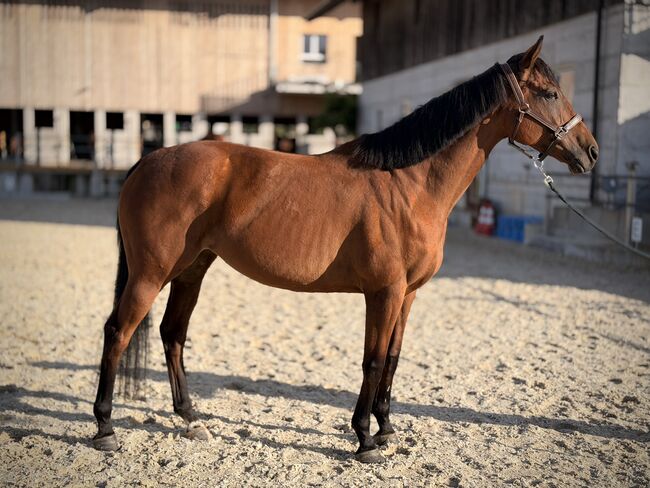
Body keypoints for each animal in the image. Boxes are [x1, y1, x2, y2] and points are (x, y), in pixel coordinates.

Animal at [92, 37, 598, 463]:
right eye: (549, 94)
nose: (590, 152)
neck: (410, 184)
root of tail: (148, 160)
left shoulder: (408, 295)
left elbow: (392, 358)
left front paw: (387, 427)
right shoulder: (384, 292)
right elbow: (372, 360)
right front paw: (365, 439)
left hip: (192, 269)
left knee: (172, 334)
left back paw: (191, 418)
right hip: (150, 274)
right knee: (118, 331)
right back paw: (105, 428)